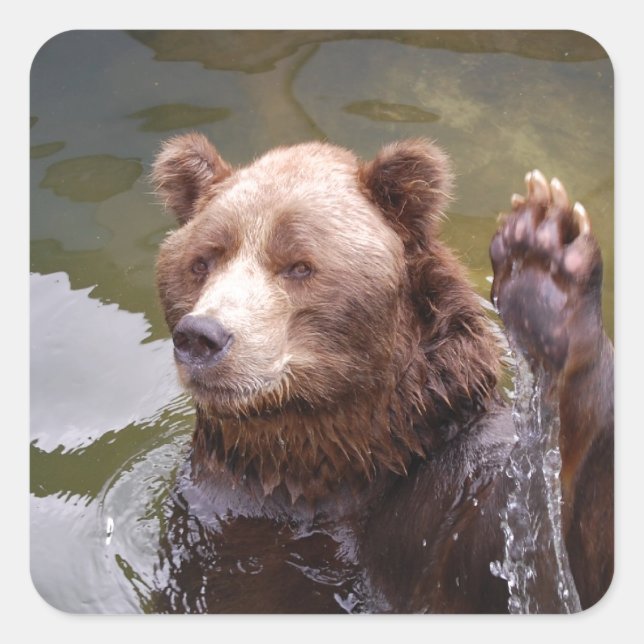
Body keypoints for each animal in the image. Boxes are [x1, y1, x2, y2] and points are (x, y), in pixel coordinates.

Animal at [150, 133, 613, 613]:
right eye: (203, 260)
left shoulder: (437, 502)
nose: (201, 336)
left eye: (298, 265)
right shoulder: (214, 507)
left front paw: (544, 263)